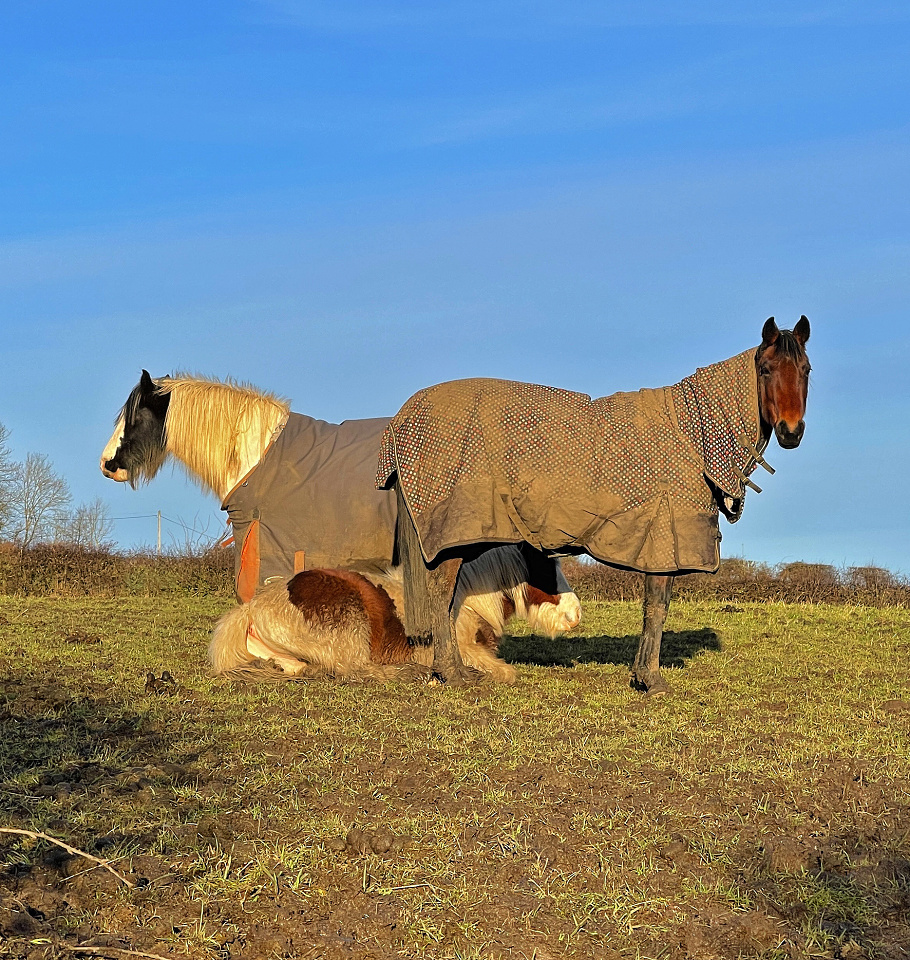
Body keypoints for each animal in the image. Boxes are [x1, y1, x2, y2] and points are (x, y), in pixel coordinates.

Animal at [377, 316, 811, 695]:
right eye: (766, 369)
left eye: (805, 370)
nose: (791, 432)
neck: (693, 435)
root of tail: (400, 419)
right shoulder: (663, 542)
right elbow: (657, 608)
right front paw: (651, 680)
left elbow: (654, 608)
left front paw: (641, 675)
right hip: (454, 533)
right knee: (440, 594)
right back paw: (452, 673)